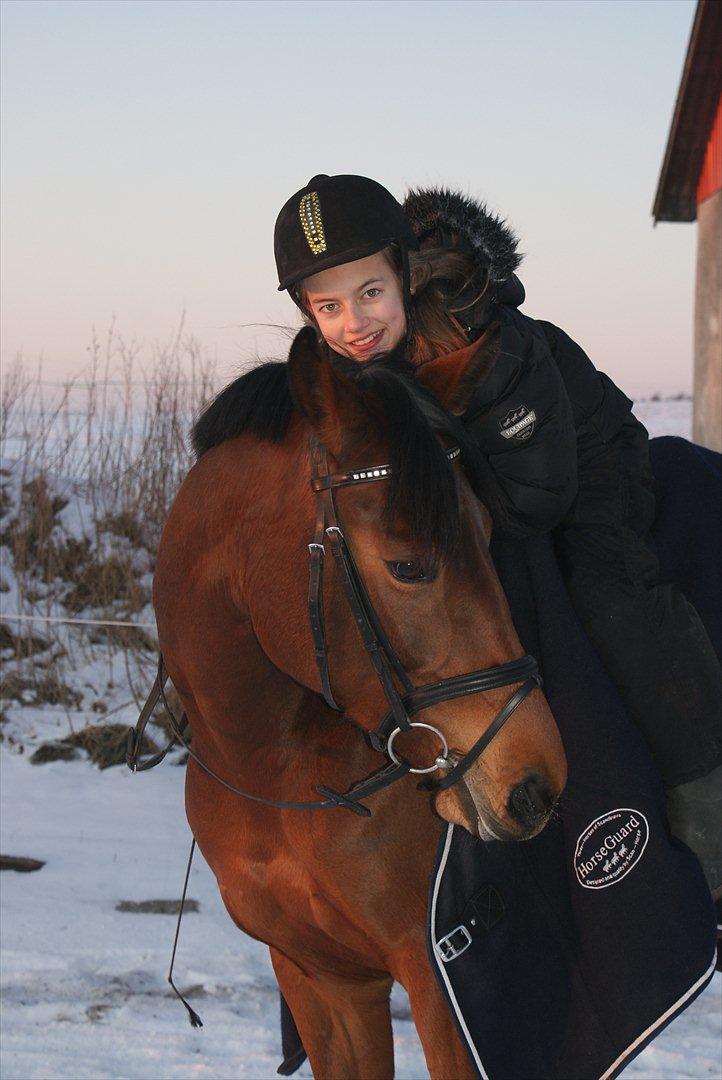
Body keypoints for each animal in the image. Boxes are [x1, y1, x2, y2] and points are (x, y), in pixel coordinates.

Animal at [153, 328, 569, 1080]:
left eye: (490, 534)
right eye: (409, 566)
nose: (534, 783)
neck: (278, 773)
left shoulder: (444, 986)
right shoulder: (323, 980)